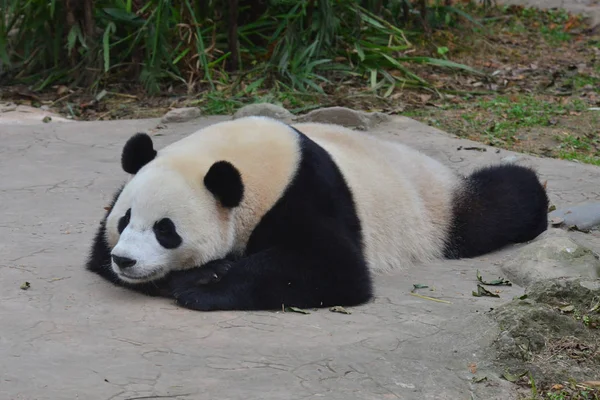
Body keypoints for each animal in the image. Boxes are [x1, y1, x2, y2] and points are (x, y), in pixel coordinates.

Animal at [84, 115, 548, 310]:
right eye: (125, 220)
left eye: (166, 230)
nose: (126, 260)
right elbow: (95, 256)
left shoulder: (305, 191)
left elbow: (331, 269)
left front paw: (202, 285)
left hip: (433, 206)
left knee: (498, 204)